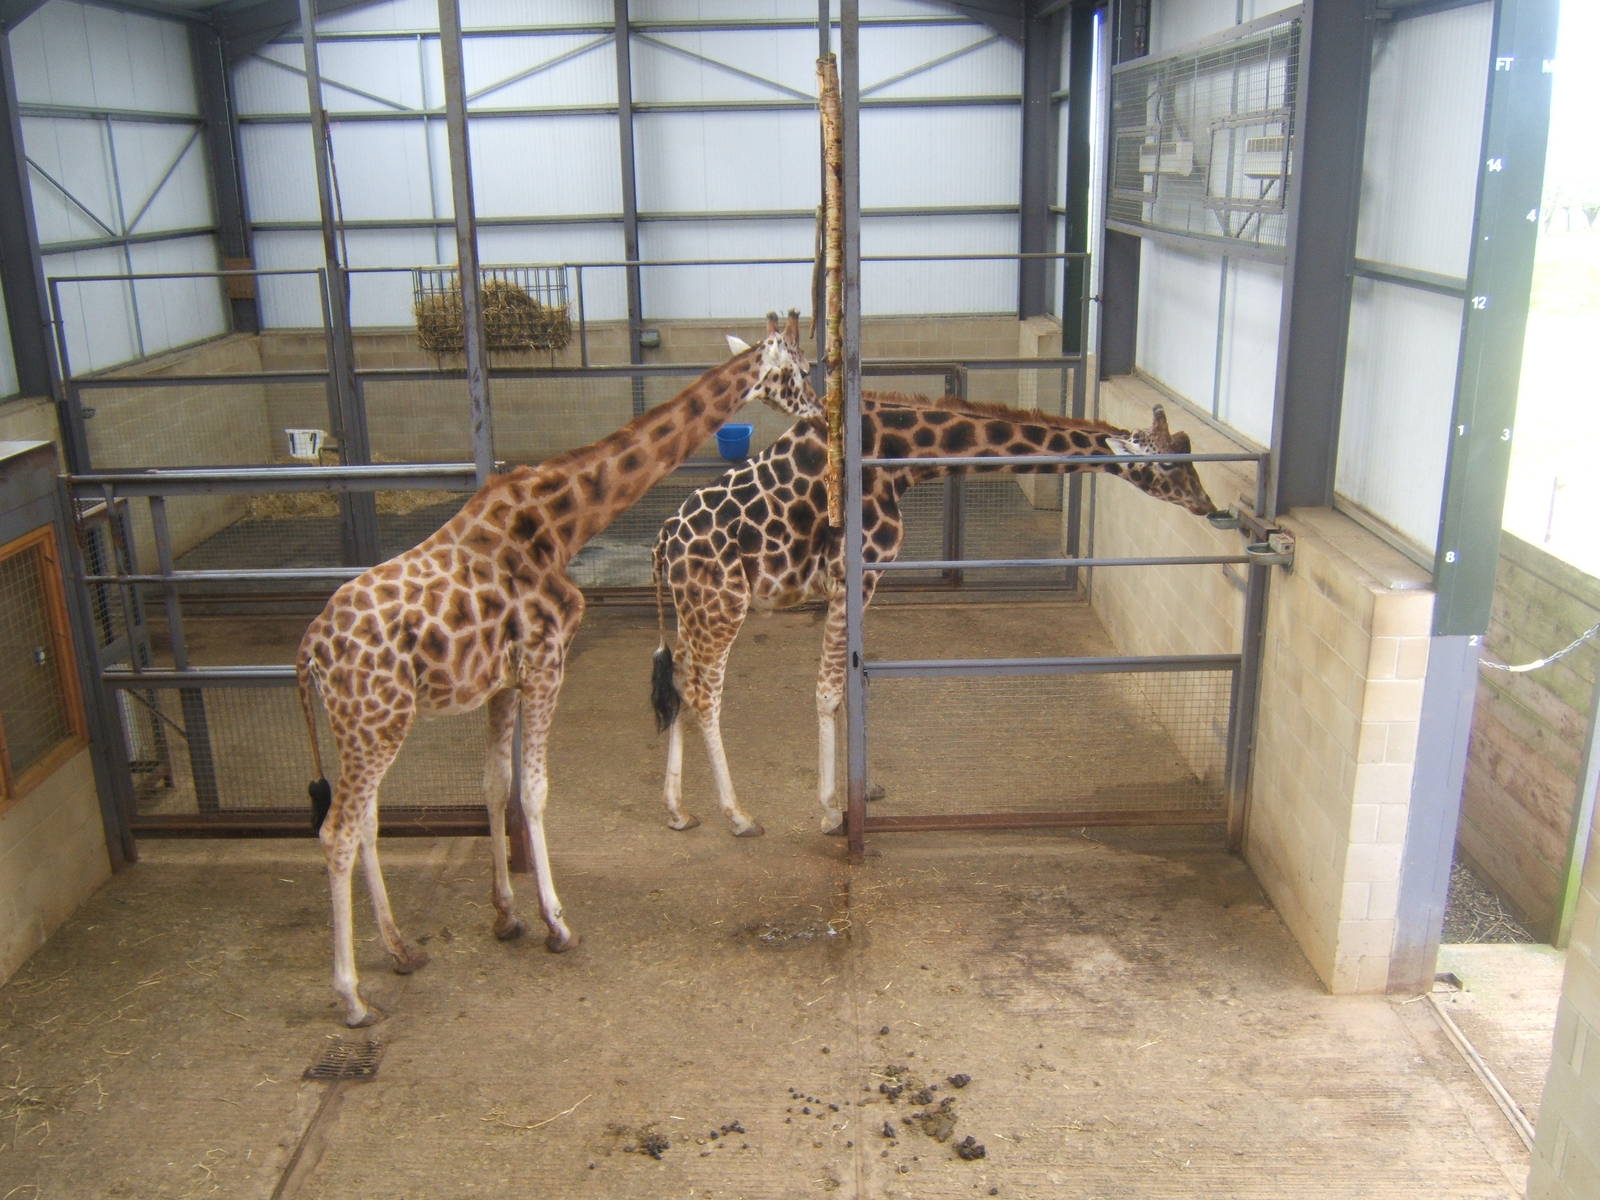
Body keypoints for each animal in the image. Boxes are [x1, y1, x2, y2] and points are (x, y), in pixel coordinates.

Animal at [297, 311, 817, 1026]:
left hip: (368, 726)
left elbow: (495, 788)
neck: (562, 520)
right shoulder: (546, 661)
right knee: (337, 833)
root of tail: (309, 653)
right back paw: (351, 997)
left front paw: (506, 916)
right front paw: (557, 924)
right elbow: (536, 792)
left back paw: (401, 950)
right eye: (800, 368)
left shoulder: (501, 683)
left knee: (367, 823)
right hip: (374, 721)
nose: (819, 409)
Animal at [649, 388, 1219, 836]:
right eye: (1167, 462)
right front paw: (831, 812)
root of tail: (661, 545)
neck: (901, 459)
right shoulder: (853, 575)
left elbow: (850, 686)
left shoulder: (858, 582)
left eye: (1190, 452)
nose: (1207, 506)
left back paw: (678, 811)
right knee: (704, 695)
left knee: (676, 682)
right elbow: (830, 690)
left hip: (691, 611)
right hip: (721, 606)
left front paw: (863, 790)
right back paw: (738, 816)